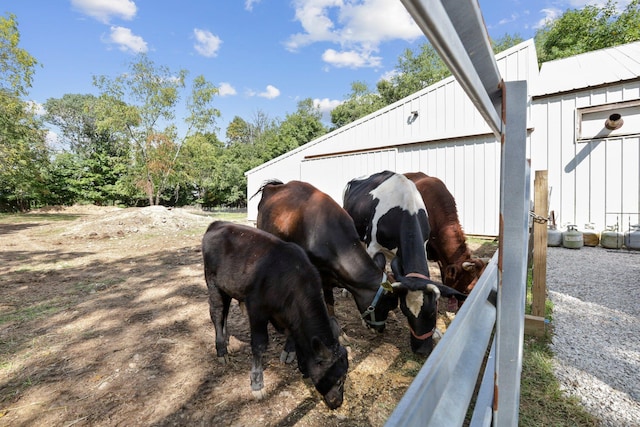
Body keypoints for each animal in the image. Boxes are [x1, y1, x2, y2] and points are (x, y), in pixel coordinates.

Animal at [202, 222, 348, 410]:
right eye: (338, 379)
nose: (338, 403)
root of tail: (218, 223)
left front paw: (302, 366)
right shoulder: (256, 309)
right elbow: (259, 345)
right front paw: (257, 383)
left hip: (228, 287)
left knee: (225, 312)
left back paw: (226, 340)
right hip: (213, 283)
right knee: (217, 312)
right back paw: (221, 350)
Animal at [342, 172, 468, 356]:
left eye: (433, 311)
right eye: (405, 311)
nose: (421, 350)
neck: (405, 207)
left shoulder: (424, 243)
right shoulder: (372, 246)